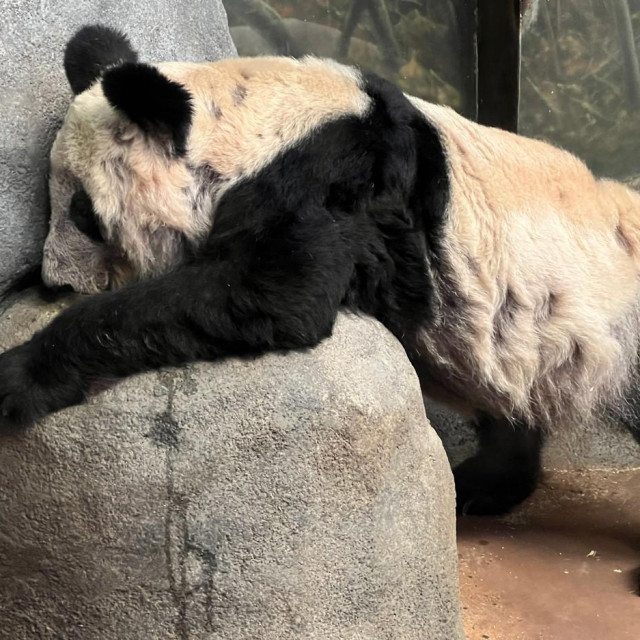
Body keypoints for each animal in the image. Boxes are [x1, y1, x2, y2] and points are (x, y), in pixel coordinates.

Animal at [2, 24, 640, 518]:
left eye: (83, 213)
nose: (56, 281)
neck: (253, 119)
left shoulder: (332, 181)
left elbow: (273, 294)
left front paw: (18, 376)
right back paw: (486, 485)